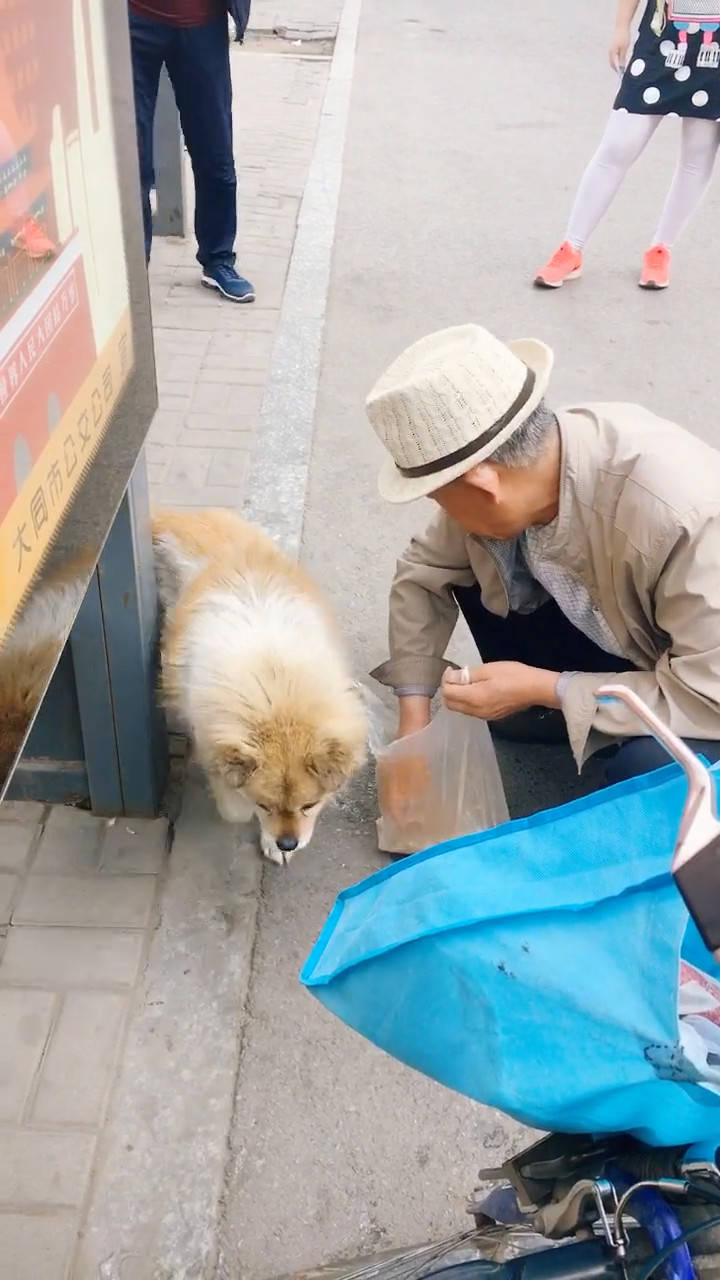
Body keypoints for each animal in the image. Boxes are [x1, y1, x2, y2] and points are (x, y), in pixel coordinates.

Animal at [151, 506, 363, 860]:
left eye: (309, 805)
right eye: (265, 805)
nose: (287, 842)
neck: (277, 685)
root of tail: (179, 515)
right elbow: (234, 807)